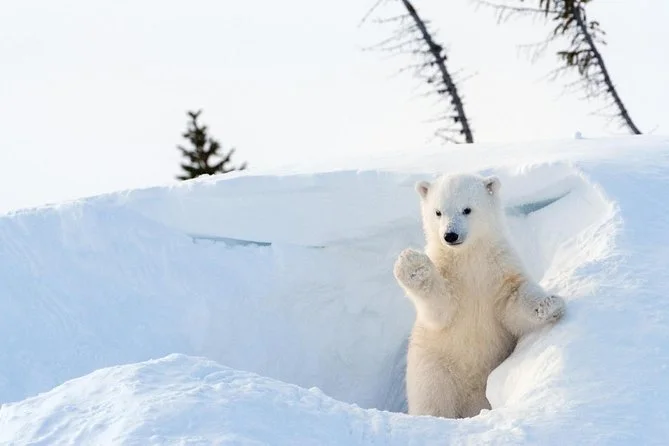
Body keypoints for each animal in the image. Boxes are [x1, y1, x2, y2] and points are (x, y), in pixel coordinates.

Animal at [393, 172, 565, 419]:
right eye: (438, 212)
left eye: (467, 209)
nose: (450, 235)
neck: (469, 257)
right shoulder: (449, 276)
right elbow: (440, 309)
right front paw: (413, 265)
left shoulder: (498, 268)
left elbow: (513, 300)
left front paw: (549, 305)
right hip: (434, 367)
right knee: (433, 399)